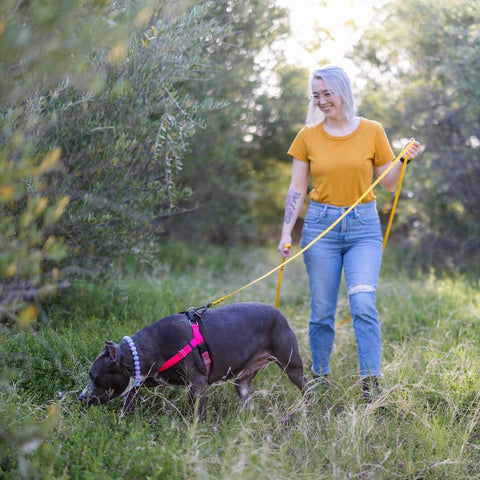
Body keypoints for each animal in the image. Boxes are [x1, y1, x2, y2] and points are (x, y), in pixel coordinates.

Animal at [78, 300, 304, 416]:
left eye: (93, 376)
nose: (80, 397)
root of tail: (279, 313)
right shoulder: (149, 378)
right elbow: (130, 395)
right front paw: (125, 420)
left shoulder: (198, 383)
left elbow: (195, 410)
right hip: (242, 381)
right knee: (247, 398)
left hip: (292, 366)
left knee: (307, 386)